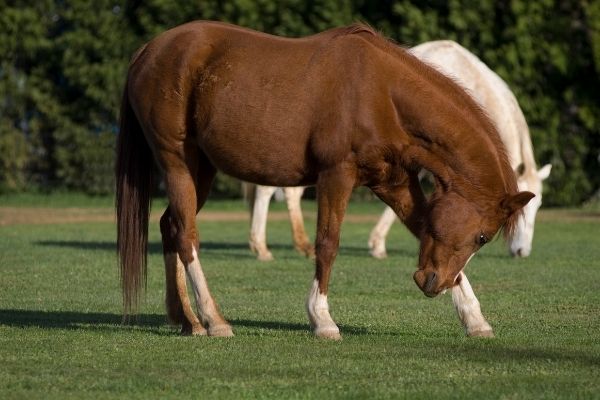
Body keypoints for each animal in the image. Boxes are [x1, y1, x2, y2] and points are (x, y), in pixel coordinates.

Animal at [246, 40, 552, 260]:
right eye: (518, 214)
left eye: (538, 207)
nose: (522, 251)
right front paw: (377, 245)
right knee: (266, 191)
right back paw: (262, 247)